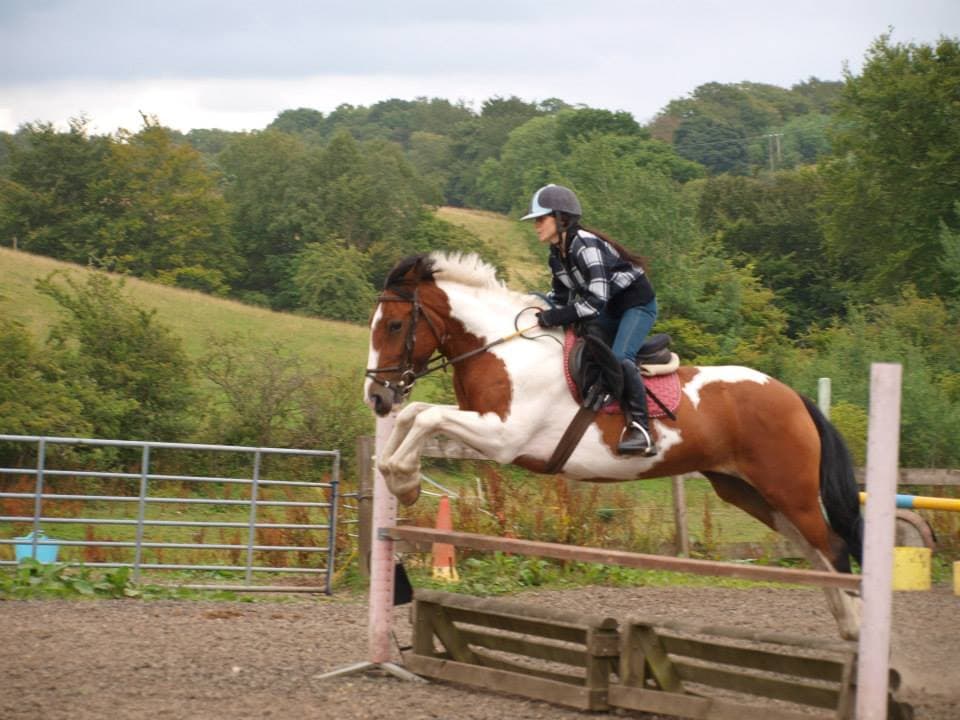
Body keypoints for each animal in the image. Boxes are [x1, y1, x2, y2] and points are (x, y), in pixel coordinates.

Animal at [364, 251, 864, 639]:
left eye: (394, 326)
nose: (376, 397)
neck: (501, 348)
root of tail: (793, 396)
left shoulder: (504, 436)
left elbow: (426, 415)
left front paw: (404, 480)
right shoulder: (483, 424)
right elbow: (415, 414)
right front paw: (400, 478)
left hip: (790, 491)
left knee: (834, 547)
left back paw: (858, 632)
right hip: (750, 492)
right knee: (813, 551)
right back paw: (846, 625)